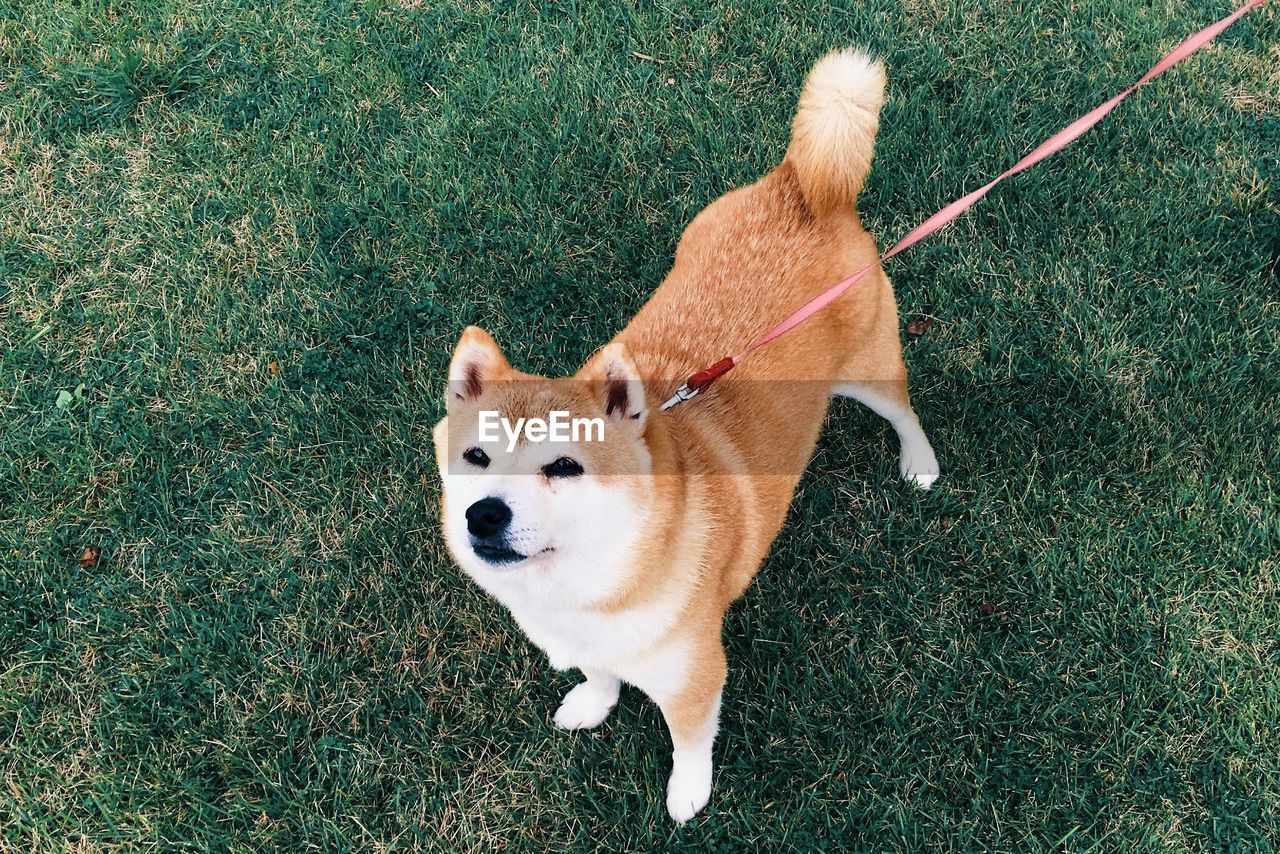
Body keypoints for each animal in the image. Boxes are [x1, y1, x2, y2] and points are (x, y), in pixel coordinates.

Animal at [432, 50, 942, 824]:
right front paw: (592, 701)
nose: (483, 514)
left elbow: (690, 741)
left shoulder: (696, 675)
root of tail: (802, 187)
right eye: (476, 457)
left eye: (564, 467)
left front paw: (687, 794)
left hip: (870, 369)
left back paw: (919, 462)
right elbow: (601, 675)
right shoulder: (593, 642)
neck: (589, 582)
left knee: (904, 410)